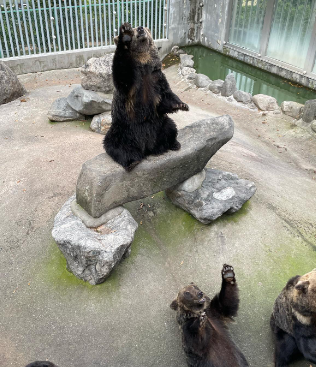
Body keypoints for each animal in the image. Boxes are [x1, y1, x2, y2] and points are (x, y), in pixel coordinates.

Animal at [103, 22, 188, 172]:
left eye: (143, 28)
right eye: (134, 28)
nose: (141, 28)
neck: (143, 65)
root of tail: (147, 148)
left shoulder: (157, 78)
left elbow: (166, 96)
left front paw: (182, 104)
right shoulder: (131, 84)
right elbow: (122, 71)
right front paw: (125, 35)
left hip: (159, 124)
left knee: (170, 127)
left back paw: (172, 144)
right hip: (123, 130)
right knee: (116, 146)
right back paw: (132, 161)